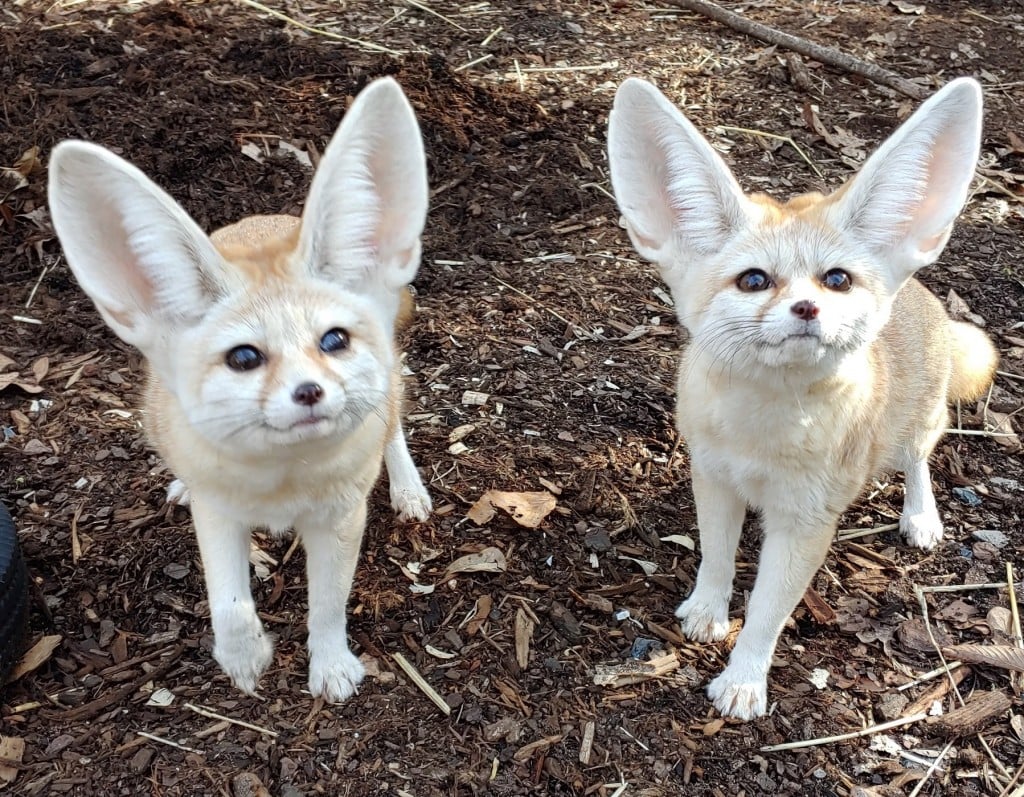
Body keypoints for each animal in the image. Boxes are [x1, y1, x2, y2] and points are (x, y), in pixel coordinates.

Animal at [48, 77, 432, 700]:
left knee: (393, 422)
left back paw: (406, 487)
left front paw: (330, 665)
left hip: (389, 387)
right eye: (244, 358)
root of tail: (265, 215)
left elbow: (328, 605)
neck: (281, 481)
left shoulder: (340, 518)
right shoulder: (219, 513)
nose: (309, 392)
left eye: (334, 340)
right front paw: (244, 656)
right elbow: (228, 603)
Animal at [610, 77, 995, 717]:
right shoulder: (713, 478)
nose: (808, 307)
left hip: (915, 426)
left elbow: (767, 612)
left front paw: (743, 680)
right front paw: (708, 611)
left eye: (836, 279)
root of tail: (924, 292)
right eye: (754, 280)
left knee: (918, 460)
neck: (761, 433)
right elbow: (716, 557)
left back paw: (921, 515)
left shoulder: (805, 523)